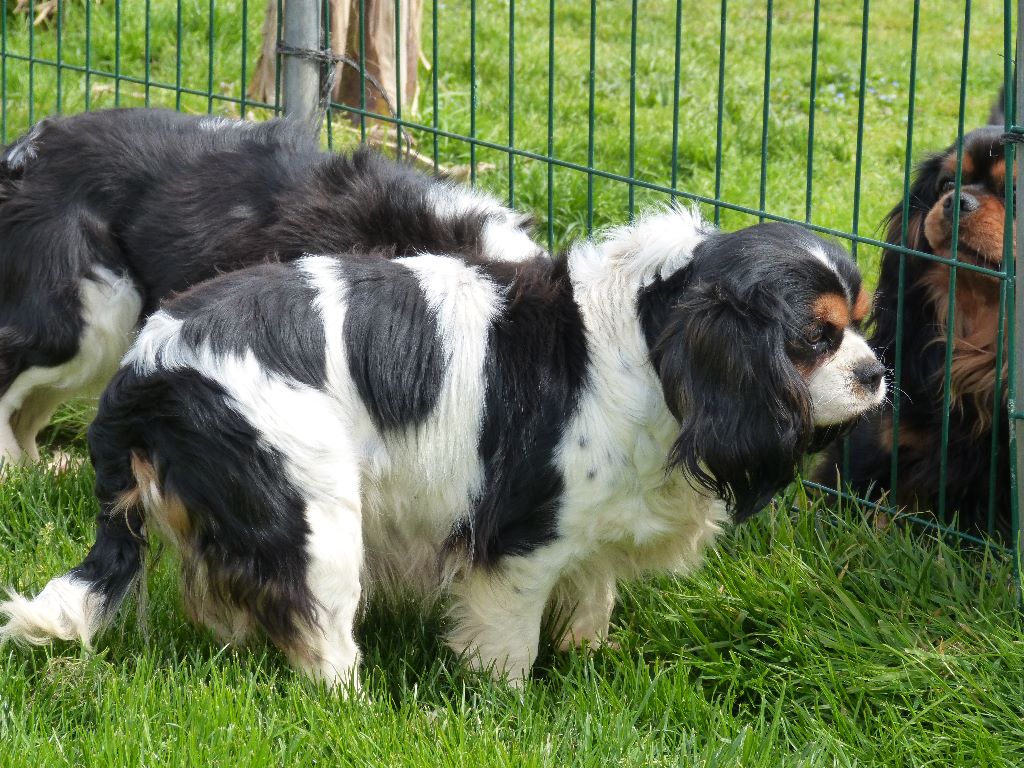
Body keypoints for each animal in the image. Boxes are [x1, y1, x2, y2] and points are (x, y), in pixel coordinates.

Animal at [0, 207, 884, 688]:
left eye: (862, 327)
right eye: (816, 339)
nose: (877, 373)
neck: (649, 340)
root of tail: (146, 366)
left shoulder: (592, 528)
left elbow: (593, 597)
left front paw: (588, 660)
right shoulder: (522, 541)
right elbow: (509, 643)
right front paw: (506, 703)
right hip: (318, 511)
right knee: (319, 634)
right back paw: (351, 706)